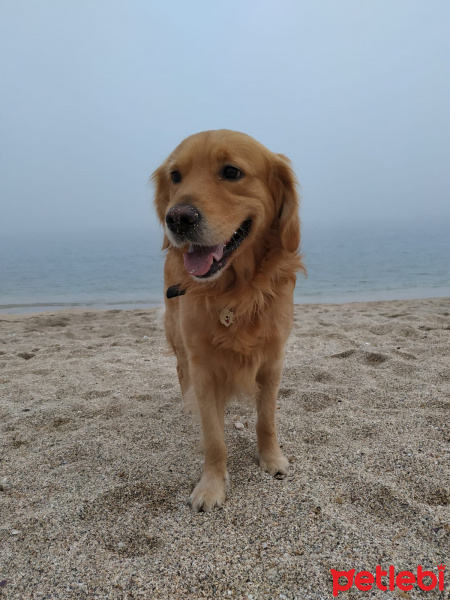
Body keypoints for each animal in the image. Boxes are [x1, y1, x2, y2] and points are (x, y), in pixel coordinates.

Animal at [153, 130, 304, 510]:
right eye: (175, 176)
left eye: (231, 172)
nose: (177, 218)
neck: (234, 294)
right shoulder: (203, 368)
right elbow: (214, 438)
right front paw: (211, 486)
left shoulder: (273, 360)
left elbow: (266, 420)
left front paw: (272, 458)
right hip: (178, 341)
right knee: (181, 373)